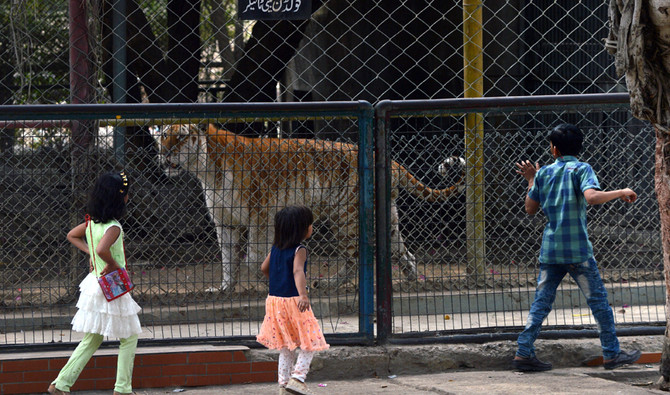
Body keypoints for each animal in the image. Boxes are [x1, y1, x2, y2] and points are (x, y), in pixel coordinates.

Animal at [161, 125, 468, 292]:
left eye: (181, 137)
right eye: (163, 135)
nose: (164, 153)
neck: (205, 169)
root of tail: (390, 161)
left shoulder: (260, 214)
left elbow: (252, 257)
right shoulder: (226, 222)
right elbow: (227, 260)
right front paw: (224, 289)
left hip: (345, 218)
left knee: (355, 260)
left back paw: (326, 283)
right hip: (386, 220)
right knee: (404, 253)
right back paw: (414, 280)